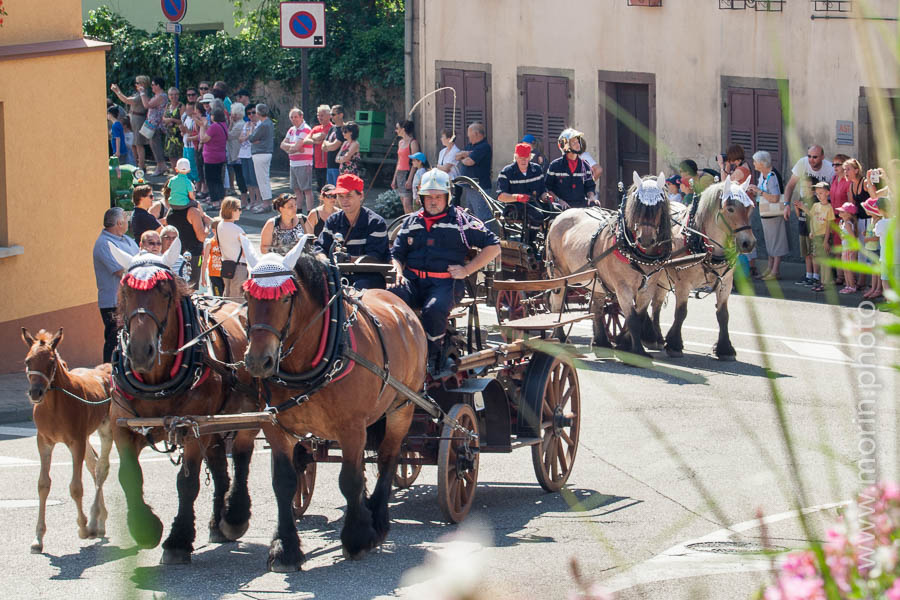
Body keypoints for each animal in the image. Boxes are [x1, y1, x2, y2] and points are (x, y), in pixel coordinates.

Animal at [21, 328, 113, 552]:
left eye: (51, 362)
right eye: (28, 361)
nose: (35, 393)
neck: (55, 406)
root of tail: (105, 369)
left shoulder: (76, 442)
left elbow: (76, 487)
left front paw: (83, 528)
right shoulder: (44, 442)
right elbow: (43, 485)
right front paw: (38, 538)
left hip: (105, 428)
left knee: (101, 468)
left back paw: (94, 523)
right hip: (87, 435)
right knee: (93, 464)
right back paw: (100, 522)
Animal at [107, 239, 260, 564]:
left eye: (165, 292)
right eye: (125, 291)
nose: (140, 352)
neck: (157, 383)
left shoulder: (191, 427)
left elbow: (186, 483)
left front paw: (177, 540)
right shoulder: (121, 426)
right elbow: (129, 475)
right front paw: (144, 527)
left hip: (246, 415)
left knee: (241, 458)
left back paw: (234, 518)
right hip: (215, 424)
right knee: (220, 466)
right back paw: (217, 523)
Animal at [237, 236, 424, 572]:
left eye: (286, 298)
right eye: (247, 295)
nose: (258, 361)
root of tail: (401, 305)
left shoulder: (352, 428)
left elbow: (349, 480)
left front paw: (357, 538)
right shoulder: (276, 427)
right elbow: (284, 482)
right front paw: (285, 548)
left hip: (402, 408)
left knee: (389, 457)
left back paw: (378, 520)